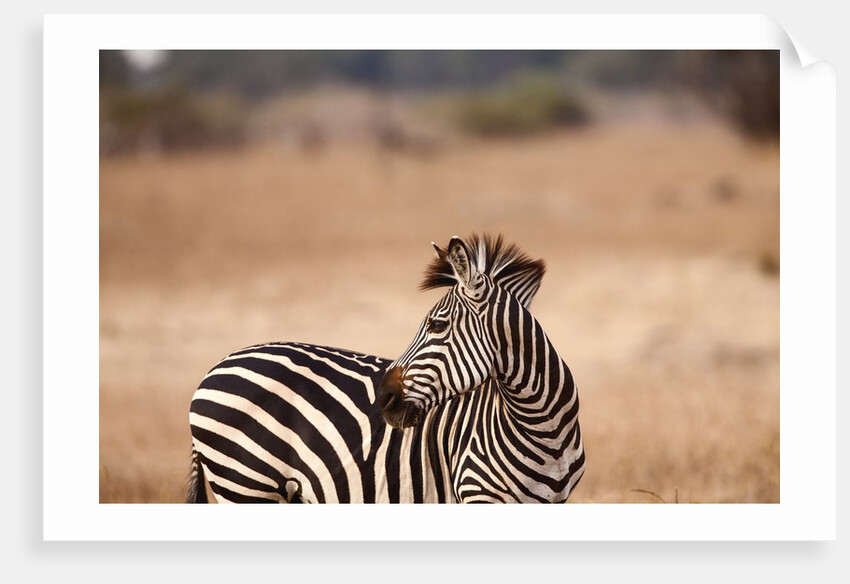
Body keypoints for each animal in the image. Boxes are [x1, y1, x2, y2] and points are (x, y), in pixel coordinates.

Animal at [187, 233, 584, 503]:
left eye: (437, 325)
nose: (384, 398)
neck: (545, 431)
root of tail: (215, 367)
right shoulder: (476, 494)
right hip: (244, 484)